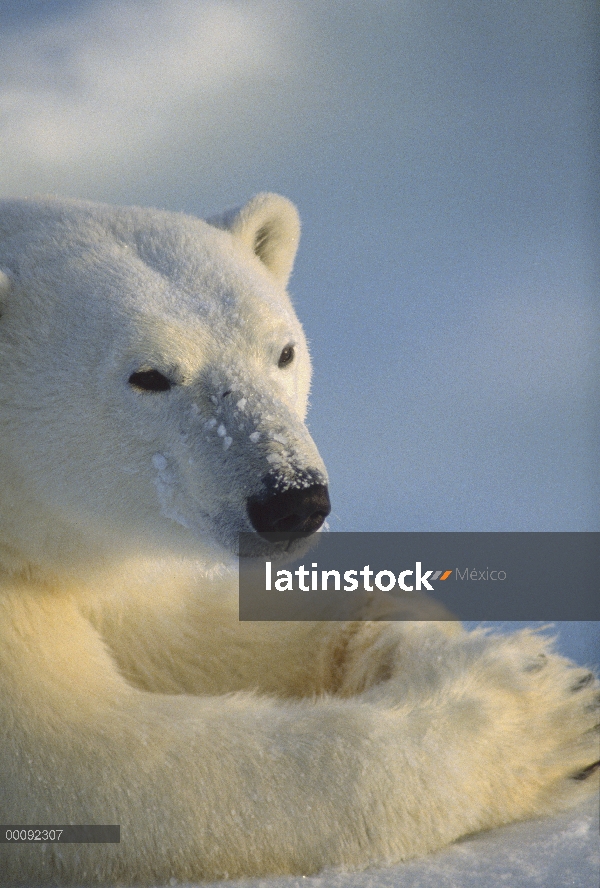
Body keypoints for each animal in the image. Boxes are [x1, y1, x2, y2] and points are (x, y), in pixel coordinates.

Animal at [0, 193, 596, 880]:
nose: (292, 500)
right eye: (147, 375)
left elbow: (186, 630)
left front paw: (401, 639)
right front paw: (543, 708)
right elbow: (108, 769)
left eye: (283, 351)